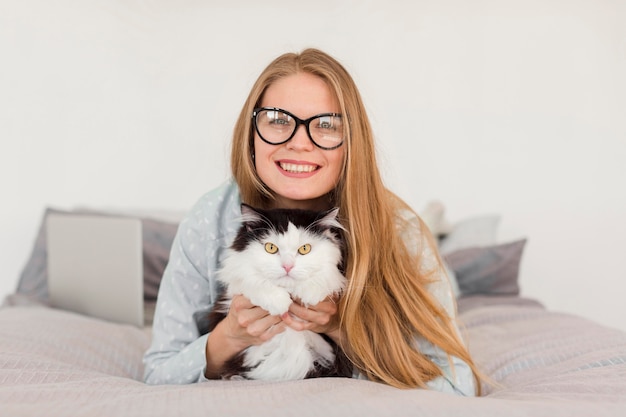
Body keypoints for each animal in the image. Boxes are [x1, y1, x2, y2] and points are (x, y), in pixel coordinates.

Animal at [207, 202, 348, 380]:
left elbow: (327, 277)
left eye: (304, 249)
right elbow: (254, 281)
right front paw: (278, 302)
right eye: (271, 248)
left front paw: (311, 293)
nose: (287, 266)